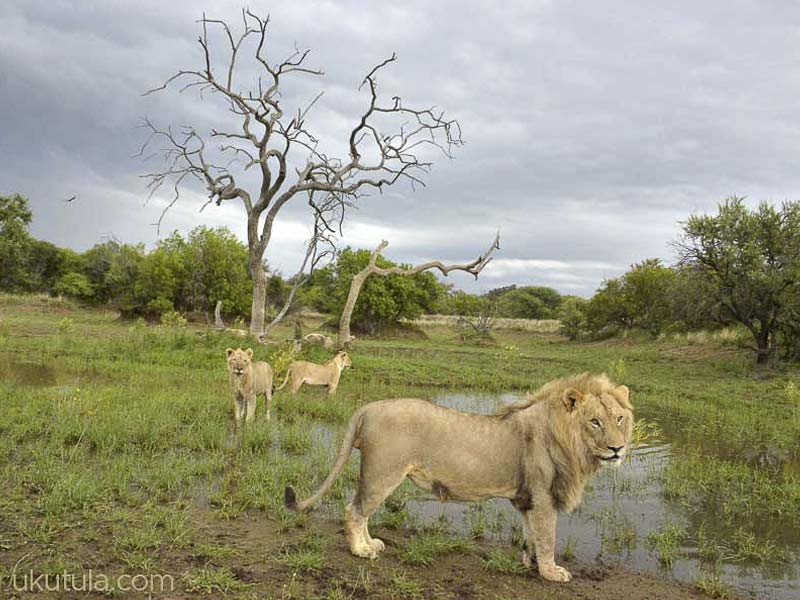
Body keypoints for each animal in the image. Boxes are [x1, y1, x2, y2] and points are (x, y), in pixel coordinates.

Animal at [284, 372, 633, 582]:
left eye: (619, 418)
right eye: (595, 422)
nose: (618, 448)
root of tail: (368, 407)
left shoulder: (528, 499)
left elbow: (532, 534)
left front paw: (530, 563)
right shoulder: (543, 496)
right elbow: (547, 537)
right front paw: (551, 571)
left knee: (363, 512)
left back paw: (373, 544)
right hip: (382, 473)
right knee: (354, 511)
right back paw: (361, 550)